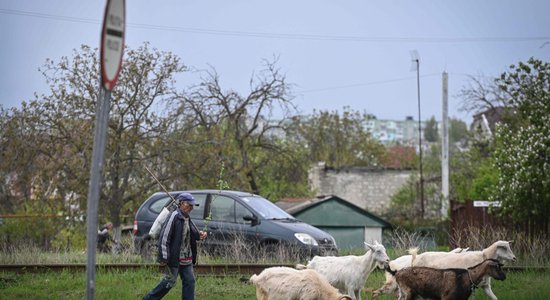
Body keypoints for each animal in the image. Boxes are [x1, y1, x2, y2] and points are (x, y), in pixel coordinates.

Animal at [374, 240, 516, 300]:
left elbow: (494, 298)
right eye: (505, 248)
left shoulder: (485, 286)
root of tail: (415, 257)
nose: (515, 258)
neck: (483, 257)